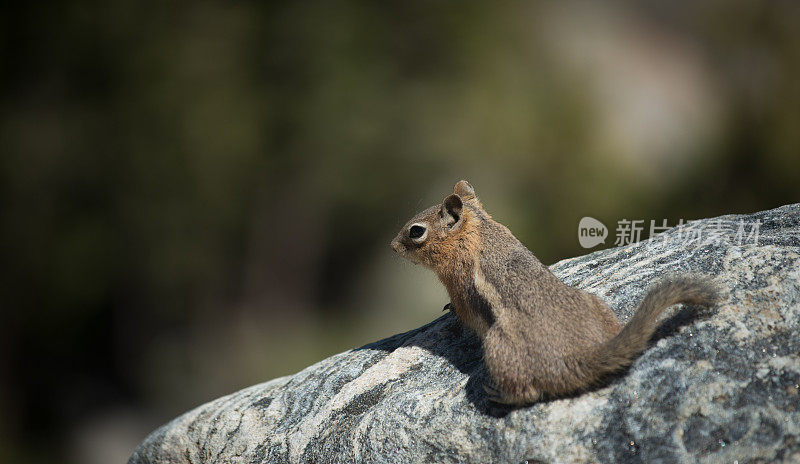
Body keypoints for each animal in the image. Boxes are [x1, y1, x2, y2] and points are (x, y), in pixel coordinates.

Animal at [390, 179, 716, 404]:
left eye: (416, 231)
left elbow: (462, 310)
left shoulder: (458, 283)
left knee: (529, 392)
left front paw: (451, 312)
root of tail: (583, 355)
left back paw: (499, 395)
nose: (391, 246)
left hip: (498, 346)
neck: (477, 230)